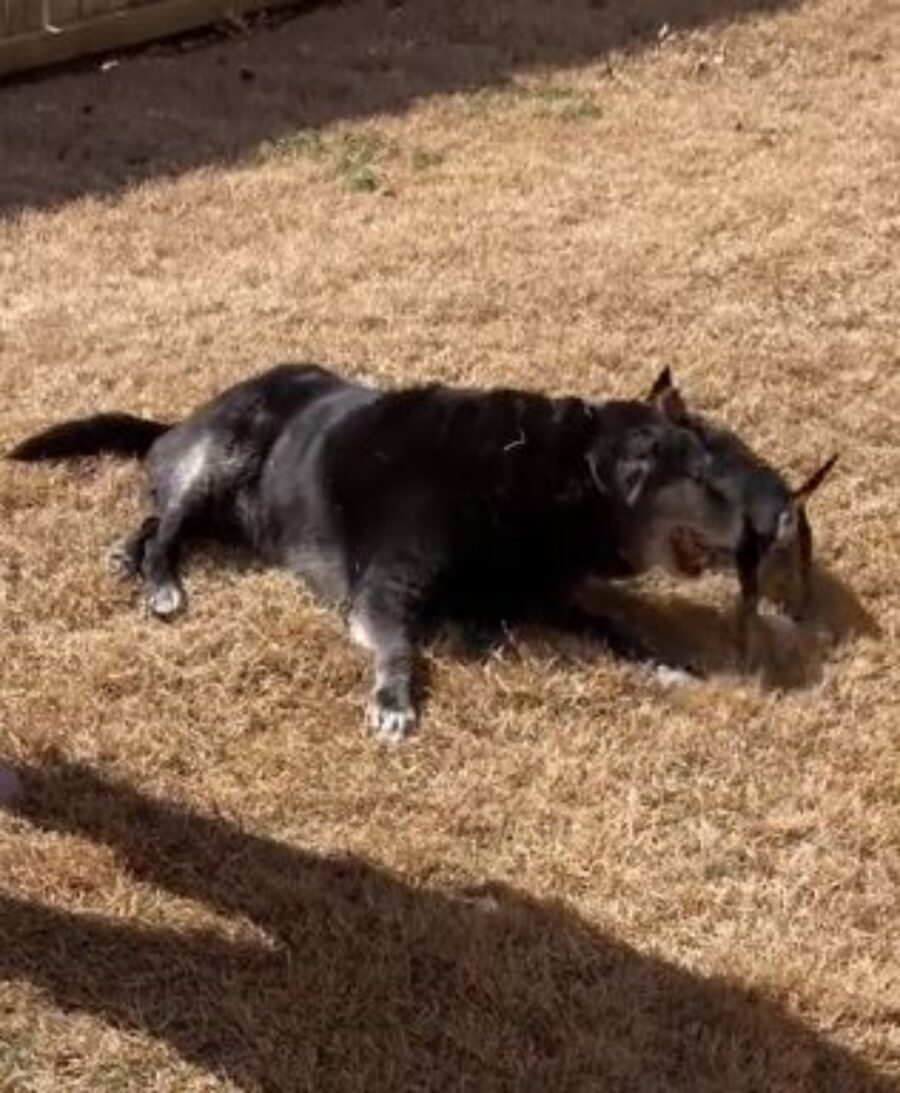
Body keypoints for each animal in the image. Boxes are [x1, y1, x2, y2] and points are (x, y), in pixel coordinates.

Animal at [8, 362, 747, 738]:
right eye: (702, 478)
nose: (758, 524)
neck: (542, 474)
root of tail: (180, 421)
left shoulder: (542, 594)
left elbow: (615, 627)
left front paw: (670, 664)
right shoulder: (385, 590)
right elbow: (401, 644)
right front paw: (394, 699)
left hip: (235, 515)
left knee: (156, 518)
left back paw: (126, 556)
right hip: (225, 451)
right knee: (168, 527)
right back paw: (160, 582)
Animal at [643, 367, 835, 655]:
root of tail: (789, 503)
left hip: (749, 565)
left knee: (750, 608)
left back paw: (741, 643)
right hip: (799, 555)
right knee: (802, 590)